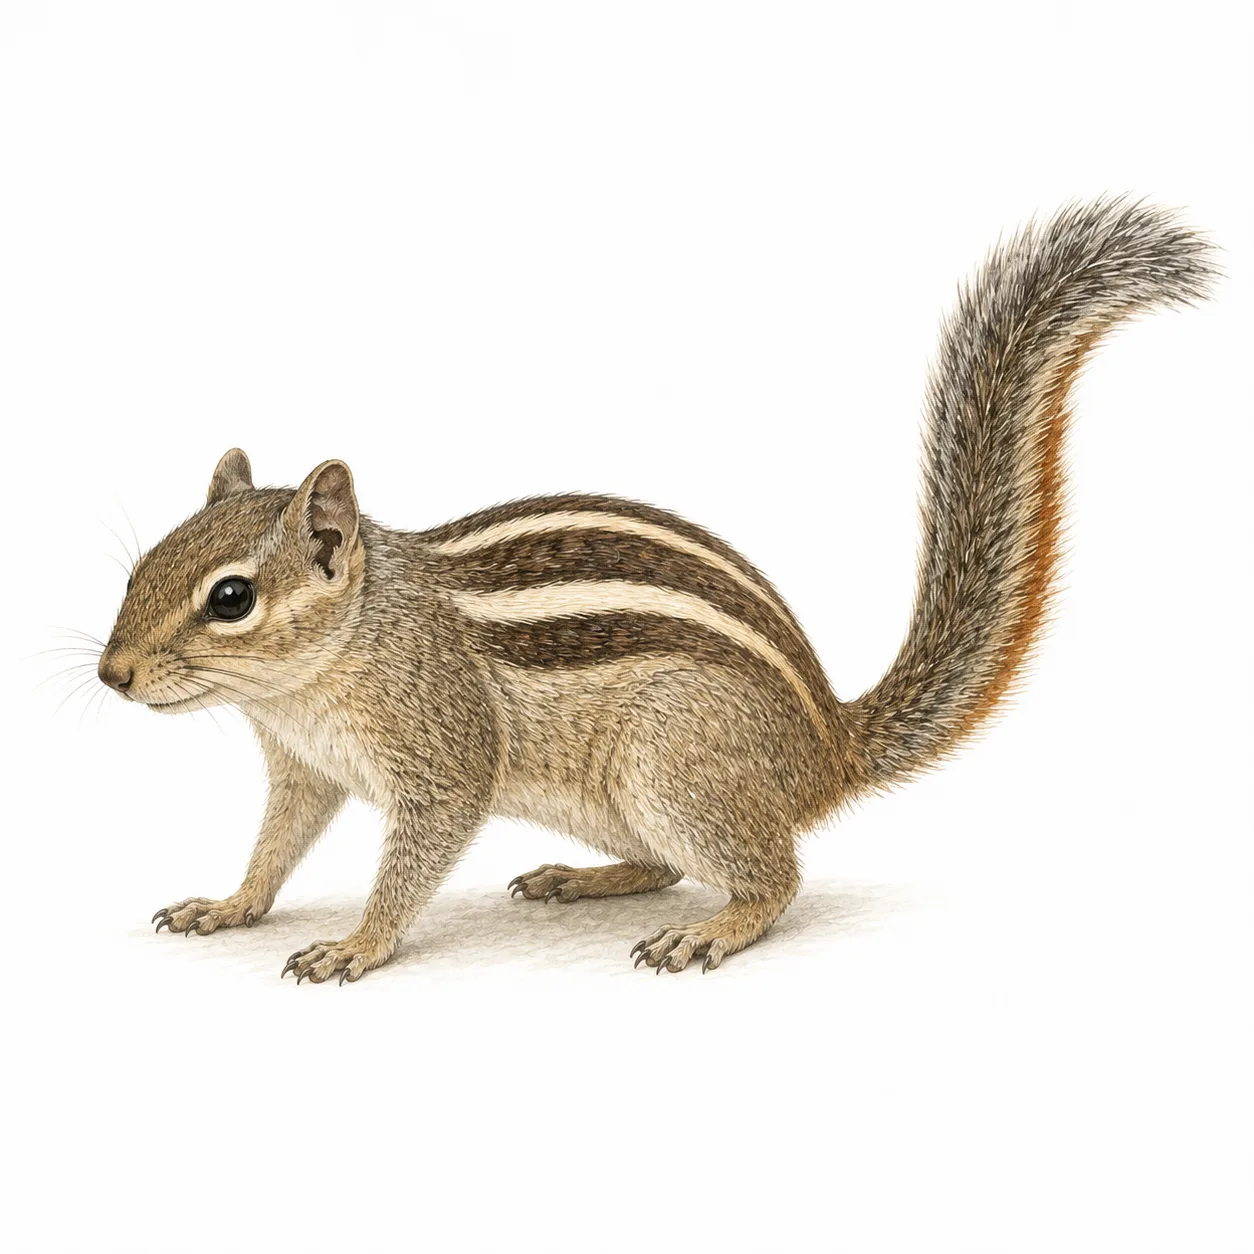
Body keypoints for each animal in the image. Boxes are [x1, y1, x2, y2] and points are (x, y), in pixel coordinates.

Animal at [97, 197, 1214, 982]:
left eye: (230, 598)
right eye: (143, 566)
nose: (111, 676)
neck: (325, 668)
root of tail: (828, 748)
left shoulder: (442, 749)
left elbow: (417, 853)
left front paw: (358, 945)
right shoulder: (305, 768)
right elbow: (276, 845)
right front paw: (230, 904)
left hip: (673, 763)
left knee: (775, 875)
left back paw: (710, 931)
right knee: (671, 863)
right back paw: (581, 877)